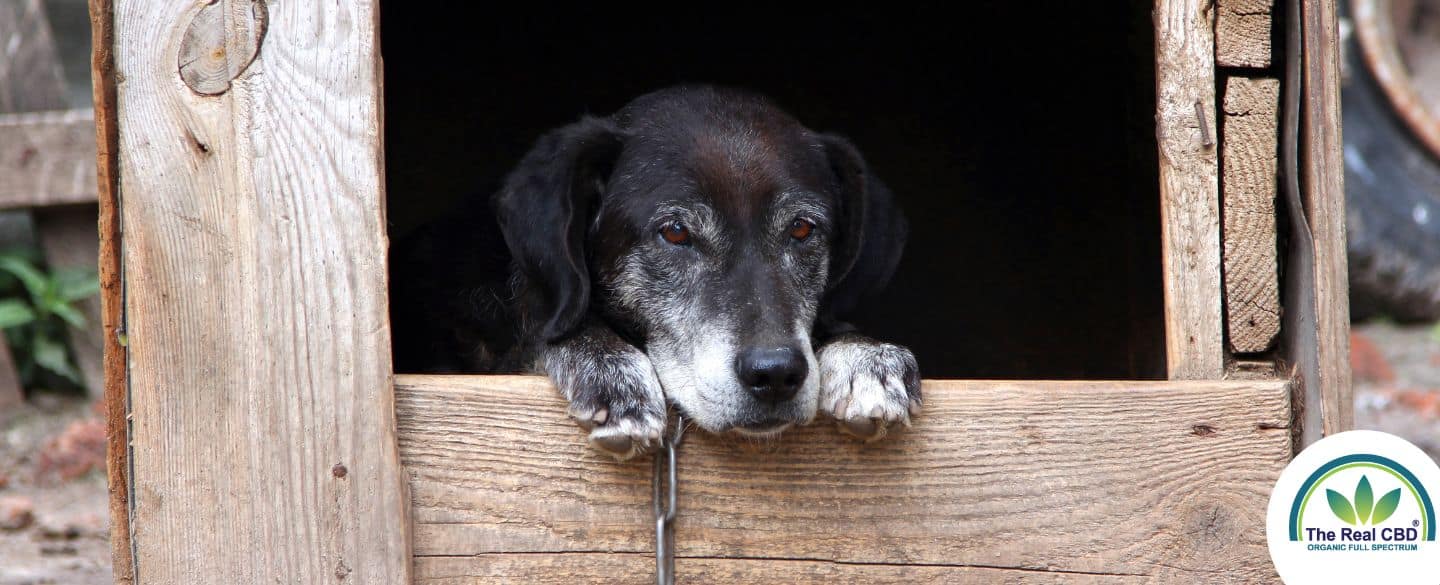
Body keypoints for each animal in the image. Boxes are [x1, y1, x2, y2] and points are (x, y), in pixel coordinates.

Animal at [388, 87, 915, 461]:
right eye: (676, 232)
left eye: (803, 228)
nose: (776, 375)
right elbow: (541, 326)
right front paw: (611, 370)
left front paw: (863, 353)